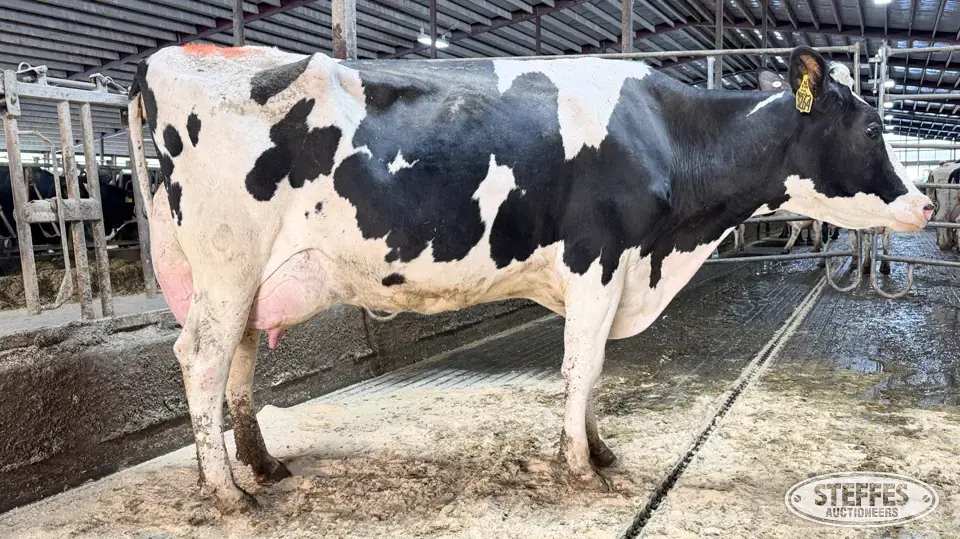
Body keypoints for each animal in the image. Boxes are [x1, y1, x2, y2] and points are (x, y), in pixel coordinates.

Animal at [129, 44, 932, 513]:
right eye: (870, 128)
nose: (926, 202)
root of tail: (168, 58)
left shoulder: (615, 270)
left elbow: (596, 368)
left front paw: (599, 450)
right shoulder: (597, 259)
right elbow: (582, 366)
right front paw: (580, 467)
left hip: (246, 275)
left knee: (239, 355)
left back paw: (262, 465)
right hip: (228, 259)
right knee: (200, 357)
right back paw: (226, 491)